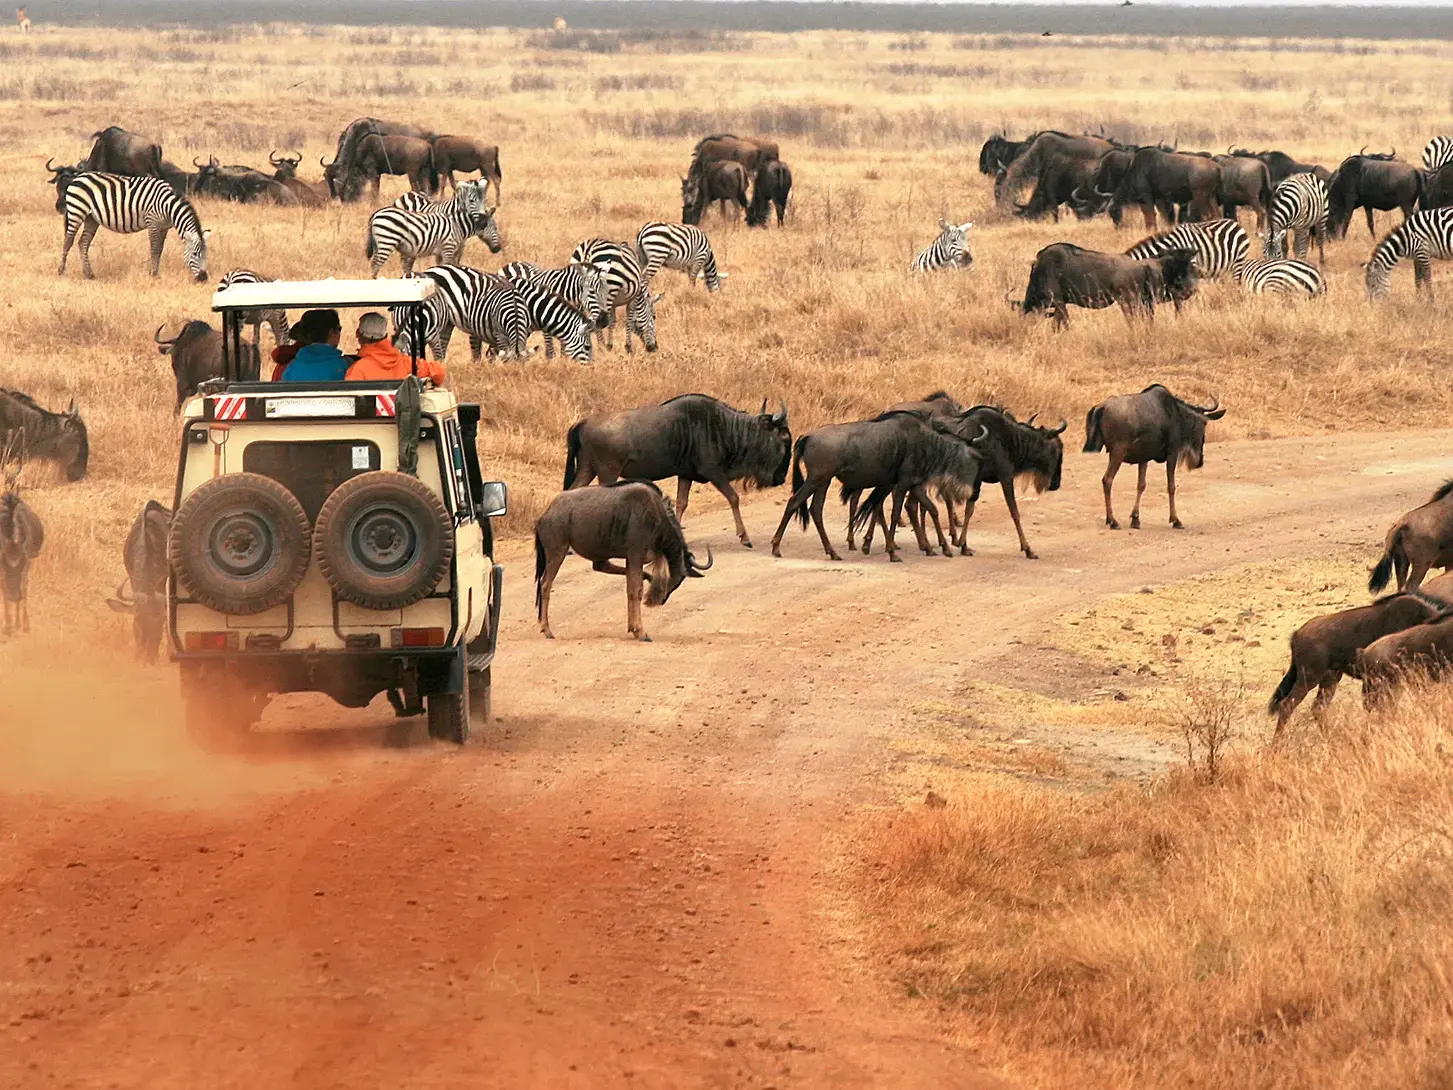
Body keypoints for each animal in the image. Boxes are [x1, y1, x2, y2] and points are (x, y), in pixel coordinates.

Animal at [58, 172, 208, 281]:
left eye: (206, 254)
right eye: (195, 254)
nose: (203, 278)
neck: (168, 206)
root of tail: (78, 177)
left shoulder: (164, 227)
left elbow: (160, 250)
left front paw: (155, 272)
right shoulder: (152, 223)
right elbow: (155, 249)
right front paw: (153, 274)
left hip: (91, 218)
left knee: (83, 242)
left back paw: (89, 274)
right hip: (76, 211)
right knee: (68, 240)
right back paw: (61, 270)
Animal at [364, 180, 499, 278]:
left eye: (485, 200)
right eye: (495, 228)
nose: (497, 249)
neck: (457, 224)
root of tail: (376, 214)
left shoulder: (453, 250)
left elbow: (449, 267)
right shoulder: (447, 249)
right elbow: (448, 267)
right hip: (388, 241)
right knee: (377, 264)